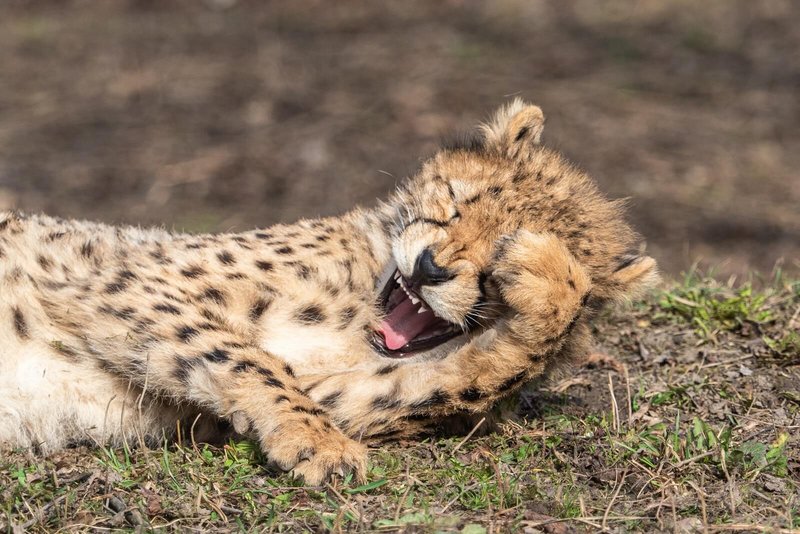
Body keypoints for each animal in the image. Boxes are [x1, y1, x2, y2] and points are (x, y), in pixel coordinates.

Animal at [0, 100, 656, 486]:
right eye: (455, 203)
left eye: (493, 269)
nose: (429, 269)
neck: (359, 297)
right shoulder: (125, 284)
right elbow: (246, 357)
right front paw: (318, 442)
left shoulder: (347, 394)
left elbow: (470, 378)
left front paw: (552, 282)